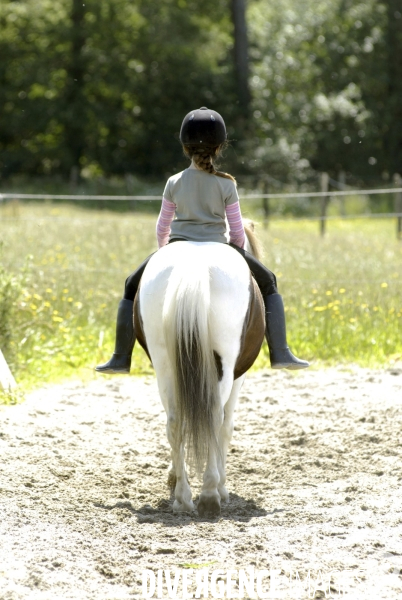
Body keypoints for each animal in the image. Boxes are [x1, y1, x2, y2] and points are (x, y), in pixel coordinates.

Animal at [133, 225, 266, 516]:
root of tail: (194, 263)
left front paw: (173, 477)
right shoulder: (238, 378)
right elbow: (226, 427)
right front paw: (223, 487)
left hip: (164, 365)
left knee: (174, 422)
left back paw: (183, 498)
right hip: (223, 367)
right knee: (215, 419)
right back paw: (209, 494)